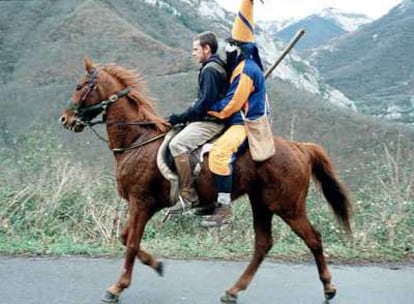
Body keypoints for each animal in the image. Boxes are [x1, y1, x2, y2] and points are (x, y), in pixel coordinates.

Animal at [59, 56, 350, 302]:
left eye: (80, 86)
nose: (65, 118)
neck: (137, 141)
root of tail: (300, 147)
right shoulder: (144, 205)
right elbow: (125, 237)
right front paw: (156, 264)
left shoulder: (141, 202)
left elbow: (130, 243)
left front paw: (117, 287)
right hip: (262, 204)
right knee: (263, 245)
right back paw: (233, 291)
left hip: (288, 207)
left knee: (314, 239)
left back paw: (328, 287)